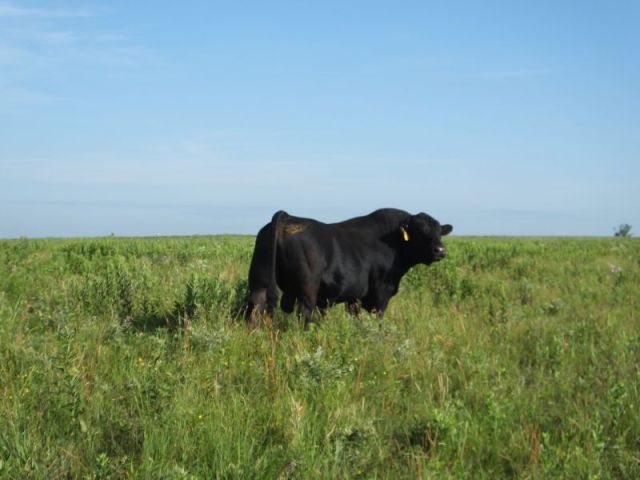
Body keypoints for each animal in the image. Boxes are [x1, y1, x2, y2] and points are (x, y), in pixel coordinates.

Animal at [246, 208, 453, 326]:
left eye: (438, 231)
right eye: (420, 231)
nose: (440, 250)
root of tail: (288, 218)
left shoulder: (355, 297)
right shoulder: (381, 291)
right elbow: (378, 318)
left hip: (259, 280)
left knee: (256, 306)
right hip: (308, 288)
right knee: (304, 313)